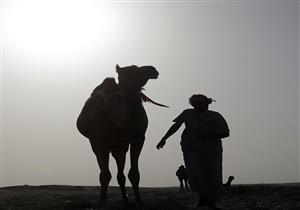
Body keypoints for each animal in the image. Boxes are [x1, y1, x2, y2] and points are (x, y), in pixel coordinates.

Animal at [76, 63, 165, 207]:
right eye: (133, 71)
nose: (152, 69)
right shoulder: (100, 140)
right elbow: (105, 174)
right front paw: (103, 202)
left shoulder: (139, 138)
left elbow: (134, 174)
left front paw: (139, 201)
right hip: (96, 143)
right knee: (104, 169)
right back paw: (104, 198)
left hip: (120, 147)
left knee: (120, 173)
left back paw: (125, 199)